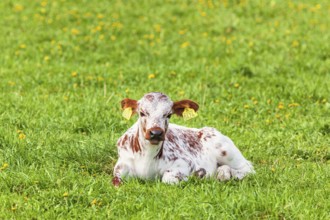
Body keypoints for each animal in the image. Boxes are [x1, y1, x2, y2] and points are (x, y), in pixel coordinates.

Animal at [112, 91, 254, 186]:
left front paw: (195, 175)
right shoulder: (121, 164)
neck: (147, 158)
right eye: (142, 113)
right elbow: (116, 181)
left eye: (169, 114)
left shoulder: (185, 162)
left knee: (248, 168)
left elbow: (167, 179)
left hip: (225, 150)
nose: (156, 133)